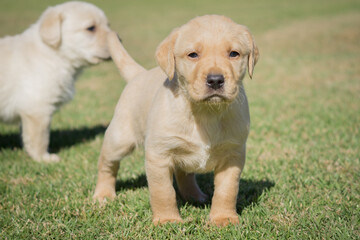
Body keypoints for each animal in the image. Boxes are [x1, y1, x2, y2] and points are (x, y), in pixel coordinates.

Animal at [0, 0, 111, 162]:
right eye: (91, 28)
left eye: (108, 25)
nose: (119, 39)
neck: (53, 54)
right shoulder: (38, 110)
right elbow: (39, 138)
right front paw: (44, 158)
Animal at [93, 15, 258, 227]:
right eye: (193, 55)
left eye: (234, 54)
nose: (215, 80)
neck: (205, 112)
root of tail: (140, 73)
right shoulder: (158, 155)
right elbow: (163, 192)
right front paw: (167, 219)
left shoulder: (233, 155)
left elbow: (227, 190)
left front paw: (223, 218)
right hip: (120, 138)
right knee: (106, 164)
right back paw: (103, 194)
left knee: (184, 174)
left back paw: (195, 196)